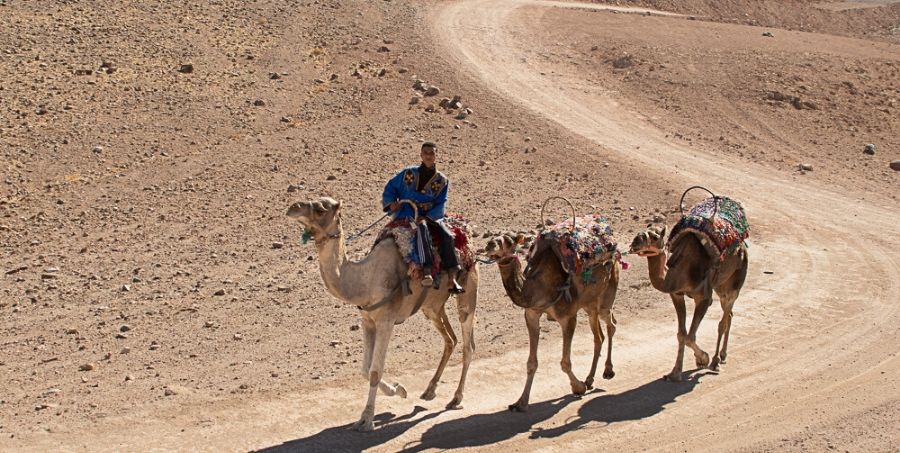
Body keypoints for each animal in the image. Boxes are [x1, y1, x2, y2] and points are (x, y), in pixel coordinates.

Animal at [286, 196, 478, 430]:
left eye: (322, 209)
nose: (293, 207)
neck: (365, 281)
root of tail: (466, 234)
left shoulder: (386, 321)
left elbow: (375, 371)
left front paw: (367, 418)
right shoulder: (367, 320)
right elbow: (364, 369)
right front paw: (399, 390)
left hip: (467, 291)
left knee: (468, 344)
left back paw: (456, 398)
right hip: (432, 306)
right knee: (450, 339)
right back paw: (429, 390)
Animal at [486, 231, 620, 412]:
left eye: (508, 241)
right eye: (494, 239)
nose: (490, 245)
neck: (538, 288)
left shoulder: (568, 317)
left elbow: (565, 363)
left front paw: (578, 387)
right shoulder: (531, 314)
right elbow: (531, 363)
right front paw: (520, 402)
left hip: (607, 295)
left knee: (611, 324)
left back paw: (608, 371)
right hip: (589, 304)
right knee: (598, 336)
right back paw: (590, 379)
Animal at [628, 224, 748, 380]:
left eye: (655, 236)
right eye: (639, 232)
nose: (635, 241)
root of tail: (742, 246)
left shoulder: (703, 298)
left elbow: (690, 337)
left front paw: (703, 359)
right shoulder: (677, 295)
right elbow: (681, 334)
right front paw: (675, 372)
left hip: (735, 283)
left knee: (723, 321)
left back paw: (715, 361)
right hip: (721, 287)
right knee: (729, 315)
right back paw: (723, 355)